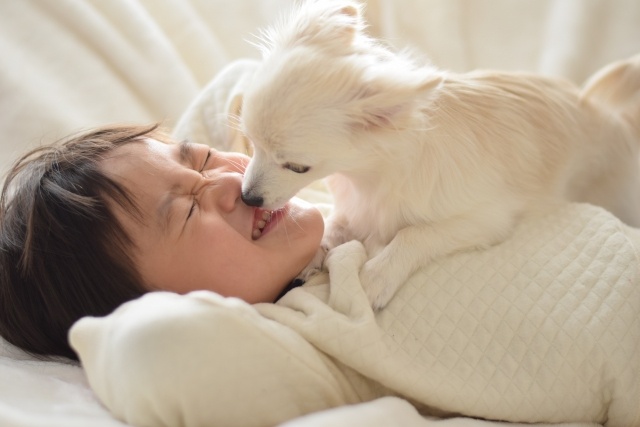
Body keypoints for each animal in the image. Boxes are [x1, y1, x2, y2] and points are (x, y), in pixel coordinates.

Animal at [239, 0, 640, 308]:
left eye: (297, 167)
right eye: (251, 144)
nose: (247, 197)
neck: (369, 178)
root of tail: (612, 117)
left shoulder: (486, 219)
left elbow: (414, 234)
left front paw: (376, 276)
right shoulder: (358, 208)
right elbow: (332, 225)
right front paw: (314, 253)